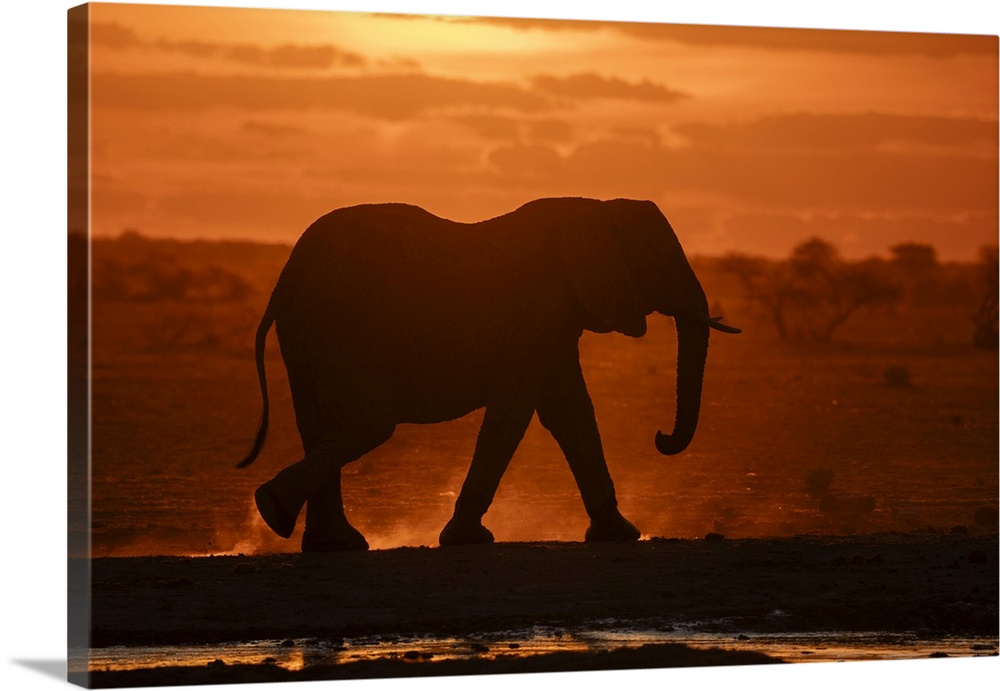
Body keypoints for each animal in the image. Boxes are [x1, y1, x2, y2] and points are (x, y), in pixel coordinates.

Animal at [237, 197, 740, 552]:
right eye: (661, 257)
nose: (660, 437)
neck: (595, 207)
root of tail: (283, 281)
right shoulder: (541, 306)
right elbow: (516, 411)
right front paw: (467, 539)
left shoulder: (555, 317)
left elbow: (570, 411)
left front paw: (620, 534)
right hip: (344, 329)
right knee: (366, 424)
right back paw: (273, 509)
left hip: (307, 335)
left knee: (319, 425)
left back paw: (325, 540)